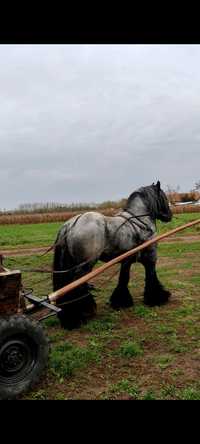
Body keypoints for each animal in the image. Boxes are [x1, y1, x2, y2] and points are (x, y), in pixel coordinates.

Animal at [52, 180, 172, 330]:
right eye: (163, 197)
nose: (169, 215)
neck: (140, 222)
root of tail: (70, 225)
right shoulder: (151, 258)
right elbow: (151, 277)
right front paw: (157, 298)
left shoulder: (126, 260)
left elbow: (123, 279)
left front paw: (121, 302)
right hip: (84, 266)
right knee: (76, 287)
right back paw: (79, 315)